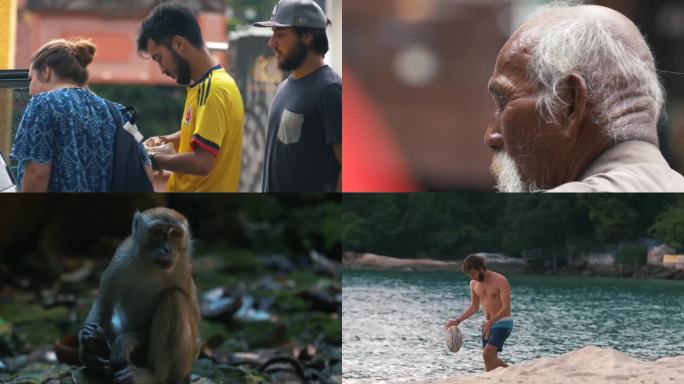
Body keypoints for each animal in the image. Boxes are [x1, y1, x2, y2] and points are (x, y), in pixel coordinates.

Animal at [80, 208, 199, 384]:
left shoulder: (182, 271)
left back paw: (152, 375)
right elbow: (104, 302)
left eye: (175, 234)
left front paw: (123, 342)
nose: (168, 249)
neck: (150, 266)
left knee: (173, 298)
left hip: (184, 365)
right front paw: (88, 353)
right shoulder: (120, 260)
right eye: (158, 232)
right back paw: (98, 351)